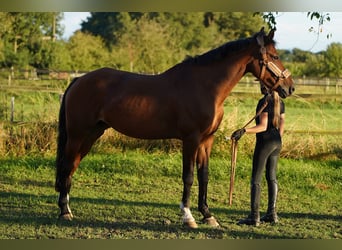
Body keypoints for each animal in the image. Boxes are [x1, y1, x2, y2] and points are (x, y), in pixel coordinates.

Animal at [54, 27, 294, 229]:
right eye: (274, 56)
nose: (289, 87)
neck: (204, 87)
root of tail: (78, 80)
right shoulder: (191, 139)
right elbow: (188, 176)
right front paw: (188, 217)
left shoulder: (206, 141)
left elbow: (204, 176)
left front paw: (208, 215)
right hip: (77, 135)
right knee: (66, 167)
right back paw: (64, 211)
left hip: (91, 134)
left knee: (72, 167)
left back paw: (67, 208)